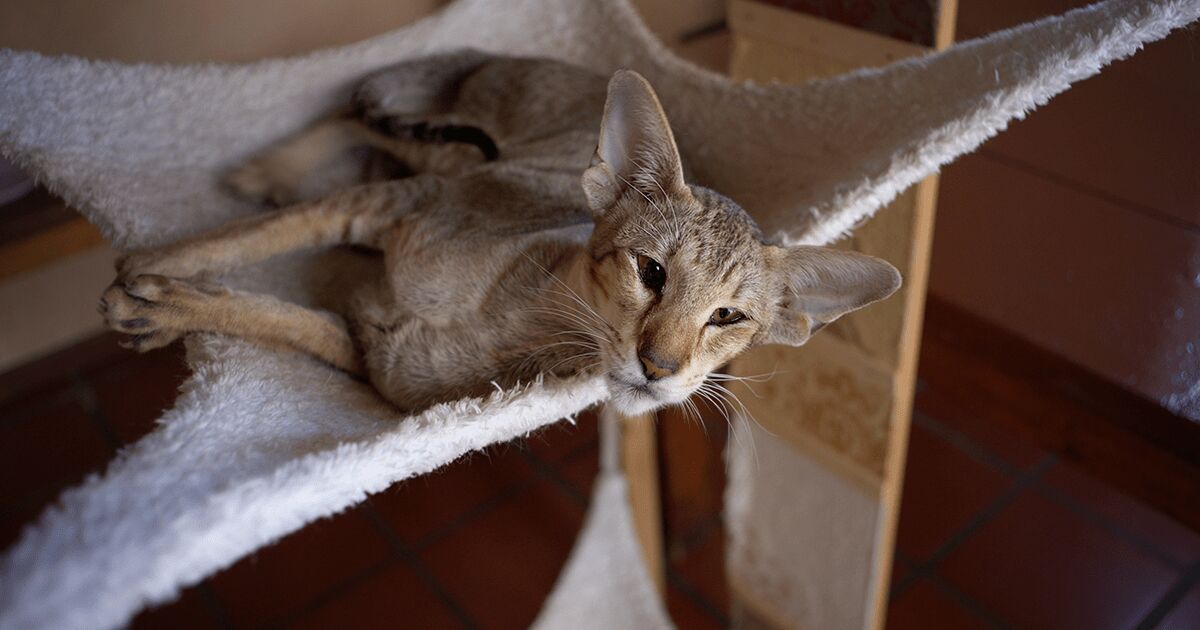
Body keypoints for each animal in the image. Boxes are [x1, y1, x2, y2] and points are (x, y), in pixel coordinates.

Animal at [98, 49, 897, 412]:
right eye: (652, 271)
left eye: (728, 318)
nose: (660, 369)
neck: (506, 317)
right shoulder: (396, 204)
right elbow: (255, 237)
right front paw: (152, 262)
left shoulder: (365, 353)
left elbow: (280, 318)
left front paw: (161, 303)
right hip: (444, 151)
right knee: (356, 116)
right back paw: (267, 166)